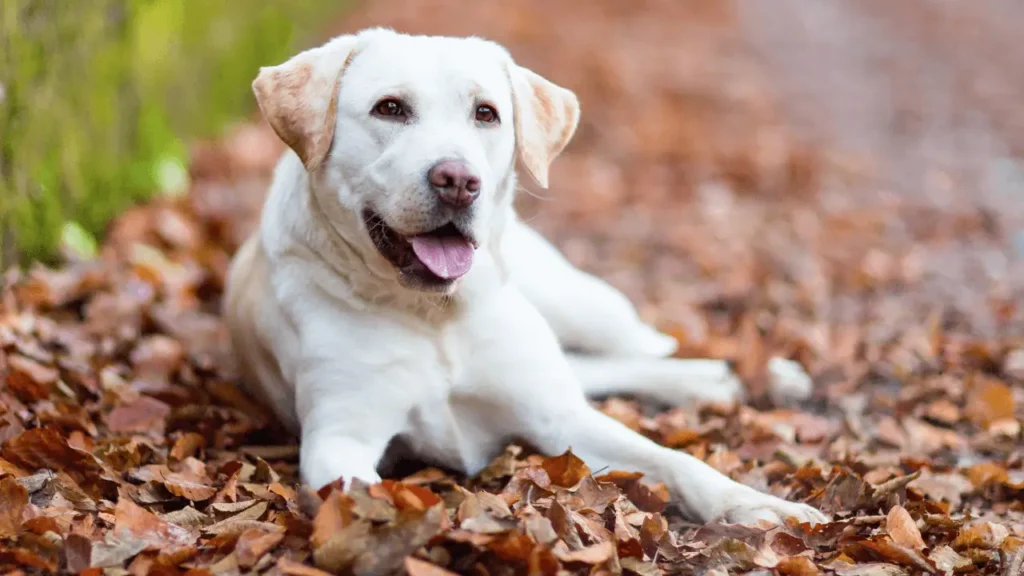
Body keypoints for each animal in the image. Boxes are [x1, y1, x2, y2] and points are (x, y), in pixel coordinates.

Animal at [222, 28, 823, 524]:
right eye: (389, 108)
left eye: (486, 114)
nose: (458, 181)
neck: (435, 316)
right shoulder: (340, 439)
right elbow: (371, 497)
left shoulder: (560, 419)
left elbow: (673, 459)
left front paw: (756, 504)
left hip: (581, 304)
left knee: (645, 346)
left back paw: (754, 374)